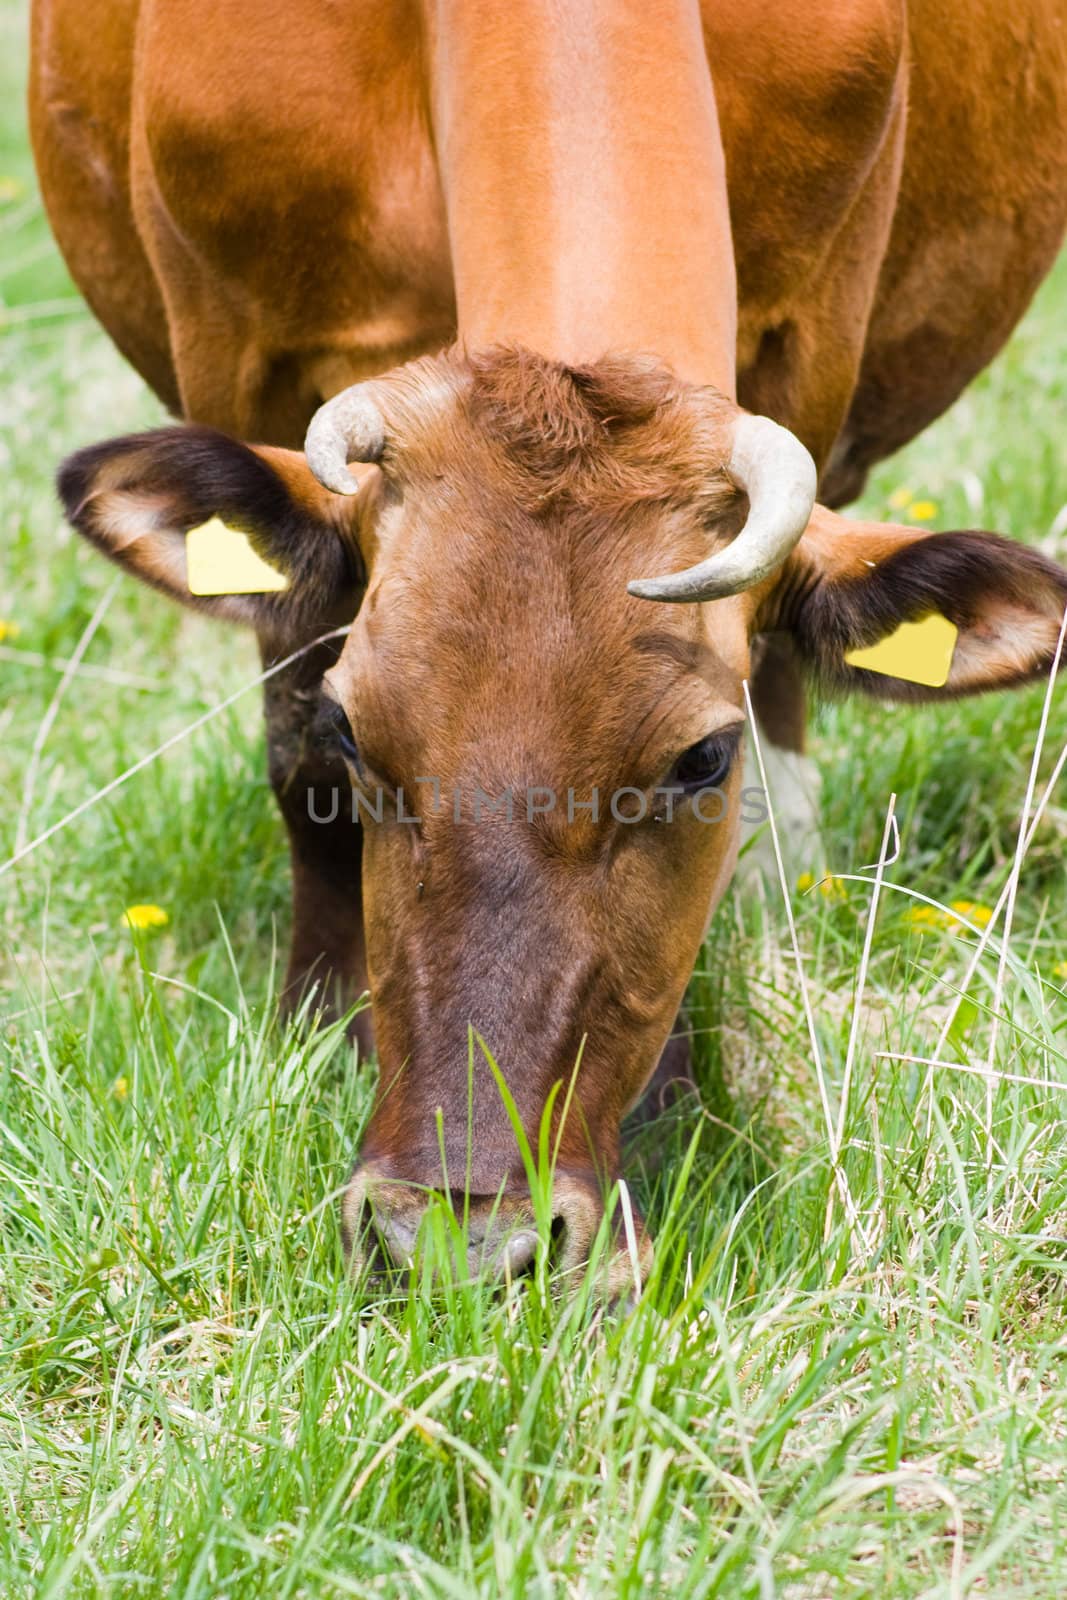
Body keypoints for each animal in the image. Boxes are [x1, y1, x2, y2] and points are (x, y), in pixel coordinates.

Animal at [29, 0, 1067, 1280]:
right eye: (354, 731)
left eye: (699, 759)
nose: (461, 1237)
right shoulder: (237, 342)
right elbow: (291, 759)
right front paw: (320, 1028)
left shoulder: (814, 334)